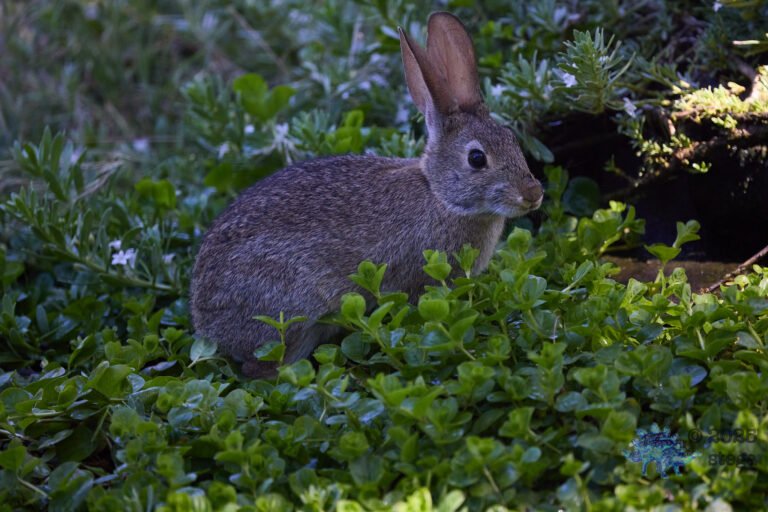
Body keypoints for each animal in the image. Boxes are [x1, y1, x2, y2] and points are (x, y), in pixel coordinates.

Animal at [190, 12, 543, 378]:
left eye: (511, 138)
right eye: (476, 158)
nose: (533, 193)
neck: (439, 196)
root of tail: (206, 323)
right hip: (292, 311)